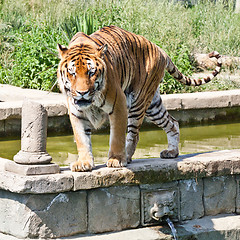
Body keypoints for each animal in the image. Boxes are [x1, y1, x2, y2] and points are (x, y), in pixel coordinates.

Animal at [57, 25, 222, 172]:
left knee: (134, 135)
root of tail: (159, 49)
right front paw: (83, 163)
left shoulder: (118, 104)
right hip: (153, 106)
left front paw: (116, 160)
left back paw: (127, 156)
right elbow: (82, 139)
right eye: (72, 73)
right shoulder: (76, 113)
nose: (82, 92)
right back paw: (172, 152)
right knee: (173, 122)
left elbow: (117, 136)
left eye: (91, 73)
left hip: (138, 102)